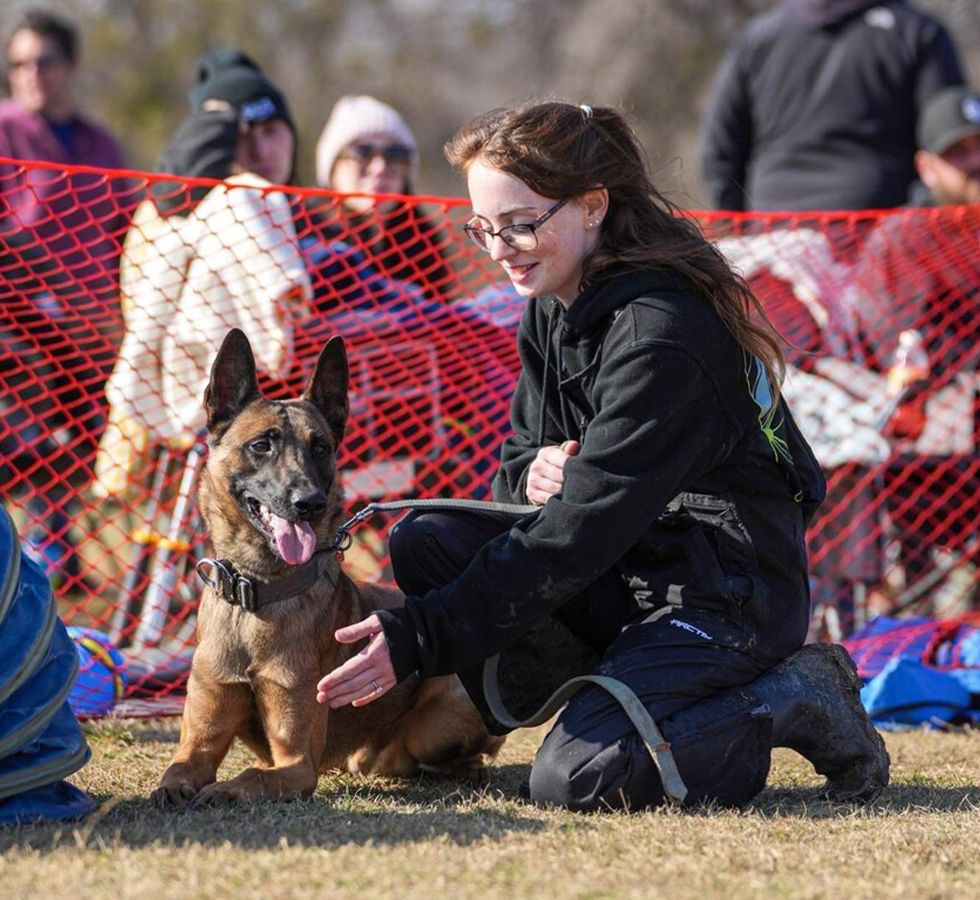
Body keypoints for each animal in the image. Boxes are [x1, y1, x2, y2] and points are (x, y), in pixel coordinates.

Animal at [155, 326, 506, 804]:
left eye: (319, 447)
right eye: (261, 445)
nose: (310, 502)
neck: (257, 594)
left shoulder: (295, 763)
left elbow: (252, 775)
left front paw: (222, 790)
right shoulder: (202, 737)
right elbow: (176, 771)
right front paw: (174, 792)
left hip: (446, 713)